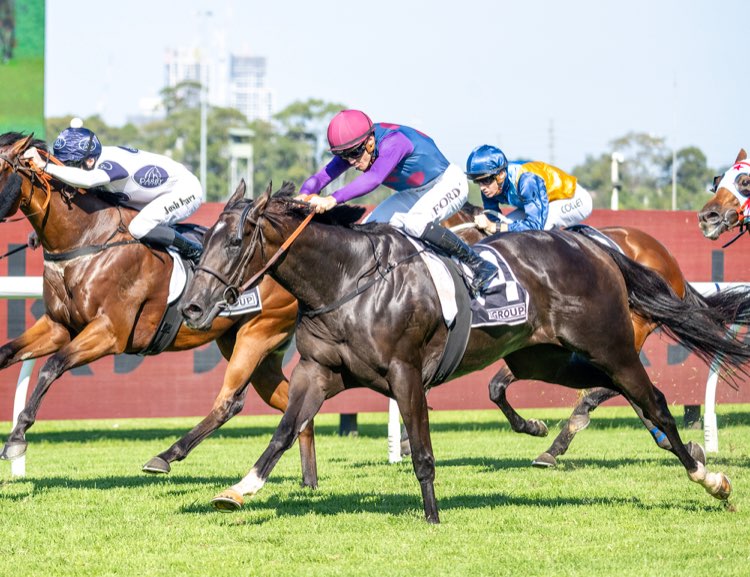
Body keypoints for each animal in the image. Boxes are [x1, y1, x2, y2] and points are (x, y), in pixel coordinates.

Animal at [0, 132, 317, 487]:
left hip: (259, 333)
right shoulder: (57, 325)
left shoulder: (109, 332)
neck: (87, 239)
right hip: (248, 346)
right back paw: (310, 480)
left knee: (229, 402)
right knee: (296, 406)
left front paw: (16, 439)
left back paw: (166, 456)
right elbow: (8, 353)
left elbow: (51, 366)